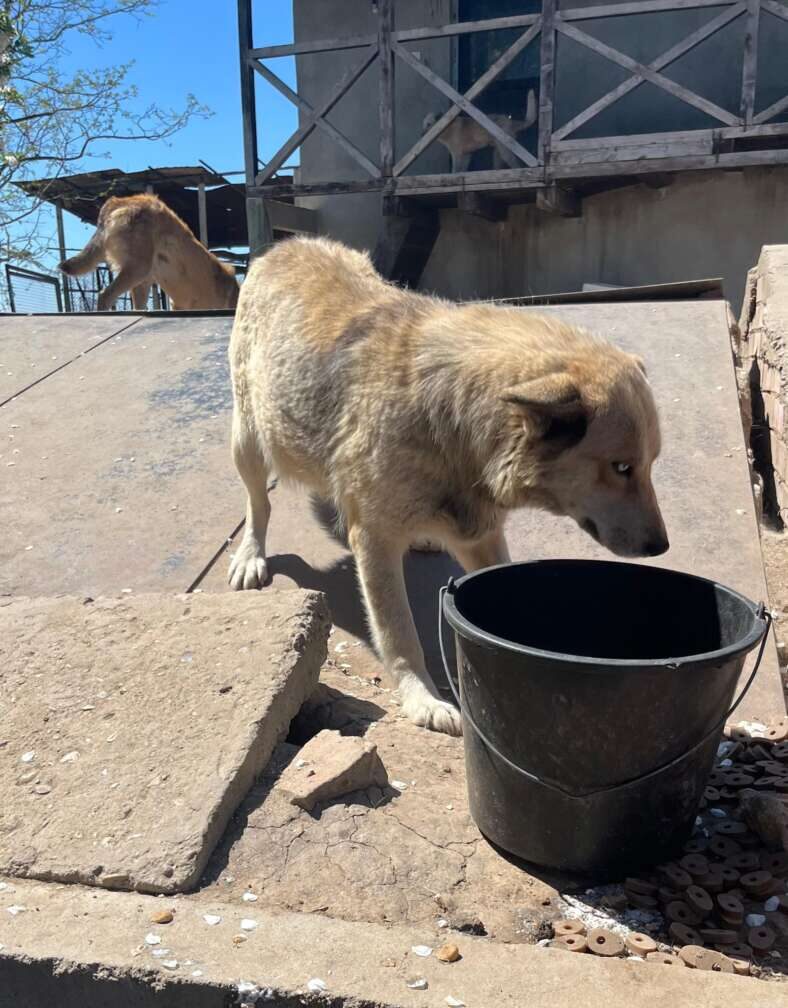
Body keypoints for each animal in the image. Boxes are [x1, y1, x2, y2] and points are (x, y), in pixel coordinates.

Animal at [228, 237, 668, 736]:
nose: (661, 546)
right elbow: (399, 632)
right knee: (258, 504)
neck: (452, 419)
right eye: (621, 467)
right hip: (249, 442)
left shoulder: (482, 535)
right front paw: (422, 699)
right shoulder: (375, 541)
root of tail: (287, 245)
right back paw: (250, 554)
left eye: (649, 464)